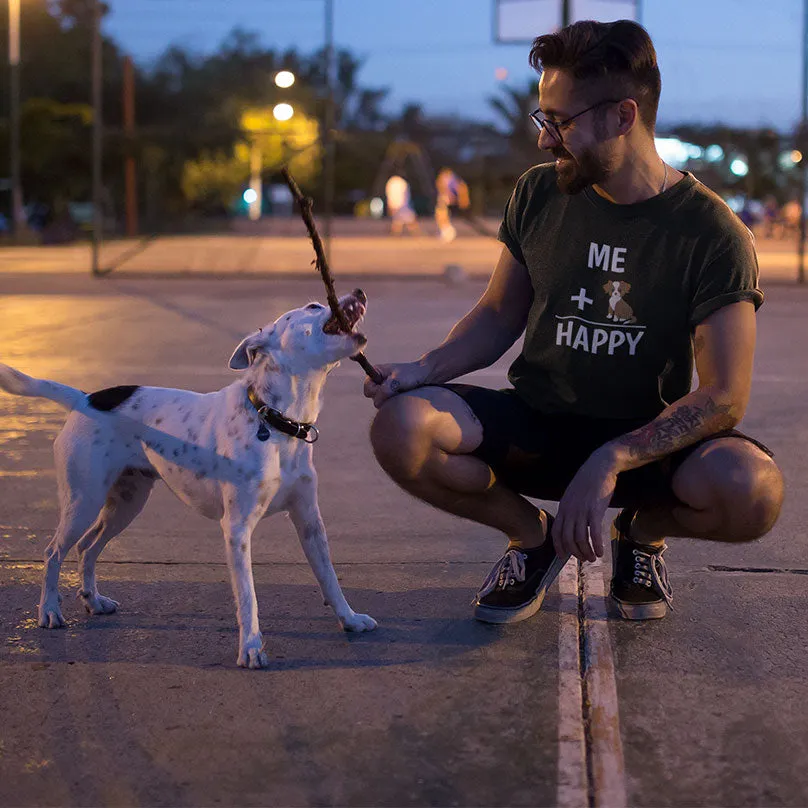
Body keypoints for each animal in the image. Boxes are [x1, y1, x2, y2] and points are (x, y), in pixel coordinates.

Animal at [0, 290, 378, 668]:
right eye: (313, 306)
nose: (359, 292)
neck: (275, 420)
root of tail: (84, 399)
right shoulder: (237, 529)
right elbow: (248, 596)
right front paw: (251, 647)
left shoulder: (309, 521)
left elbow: (329, 577)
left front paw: (350, 619)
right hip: (83, 501)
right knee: (53, 551)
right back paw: (49, 611)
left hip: (126, 504)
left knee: (87, 546)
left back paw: (93, 600)